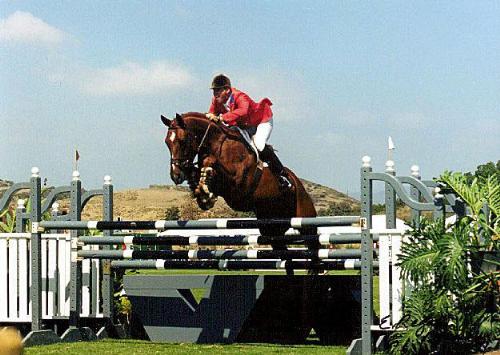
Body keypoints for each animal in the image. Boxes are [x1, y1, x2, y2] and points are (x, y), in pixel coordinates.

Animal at [160, 112, 316, 238]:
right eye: (167, 142)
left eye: (182, 141)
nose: (176, 175)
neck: (219, 144)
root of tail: (298, 184)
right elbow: (201, 174)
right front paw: (202, 192)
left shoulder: (238, 186)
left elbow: (212, 163)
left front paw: (205, 186)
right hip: (271, 229)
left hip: (306, 223)